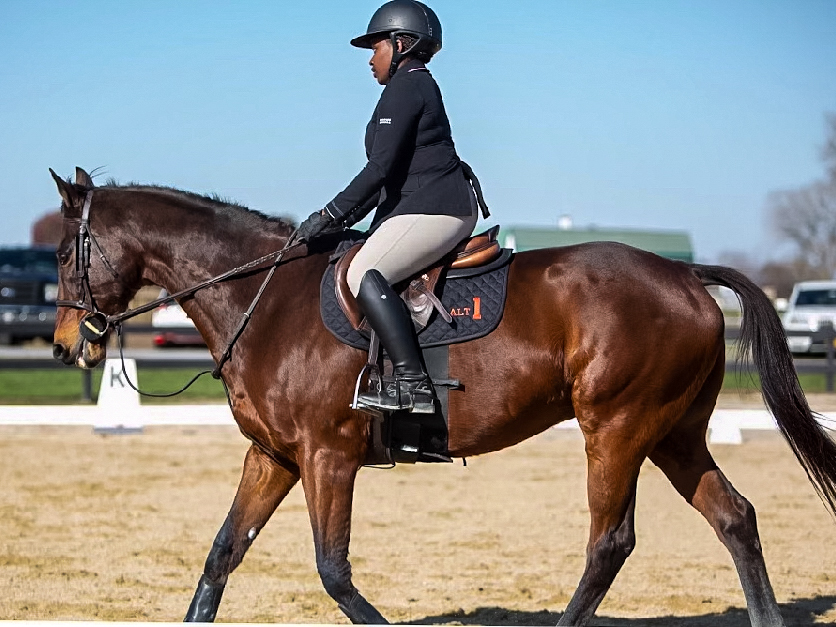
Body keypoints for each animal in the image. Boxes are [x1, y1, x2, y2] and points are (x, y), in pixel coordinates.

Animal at [49, 167, 836, 627]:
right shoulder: (274, 456)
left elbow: (333, 572)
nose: (62, 346)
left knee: (609, 542)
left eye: (61, 253)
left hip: (616, 428)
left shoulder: (327, 456)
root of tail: (686, 275)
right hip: (672, 433)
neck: (263, 298)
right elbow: (221, 554)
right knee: (734, 518)